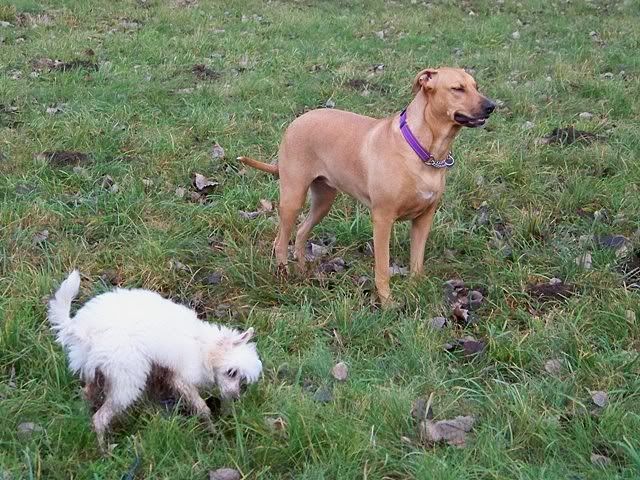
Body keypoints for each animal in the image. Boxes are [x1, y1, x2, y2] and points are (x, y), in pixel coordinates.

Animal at [48, 271, 262, 451]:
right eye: (231, 373)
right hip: (127, 382)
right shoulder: (181, 380)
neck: (203, 347)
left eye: (242, 380)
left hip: (97, 374)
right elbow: (202, 408)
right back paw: (105, 451)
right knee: (99, 418)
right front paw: (212, 431)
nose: (235, 398)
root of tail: (84, 332)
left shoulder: (165, 374)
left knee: (87, 396)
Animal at [239, 67, 495, 304]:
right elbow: (382, 267)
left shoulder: (424, 218)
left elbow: (417, 262)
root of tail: (296, 122)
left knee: (301, 232)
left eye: (476, 86)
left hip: (323, 200)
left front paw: (414, 290)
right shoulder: (382, 219)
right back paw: (283, 278)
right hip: (293, 197)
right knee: (280, 241)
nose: (492, 106)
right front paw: (387, 302)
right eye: (457, 89)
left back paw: (303, 272)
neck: (424, 150)